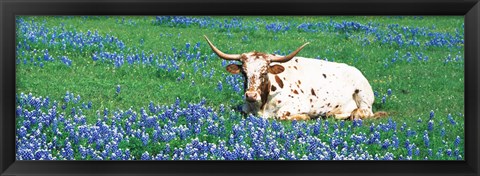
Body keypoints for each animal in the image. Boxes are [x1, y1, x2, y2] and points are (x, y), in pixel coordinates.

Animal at [204, 35, 388, 121]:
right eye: (244, 72)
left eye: (264, 72)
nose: (250, 95)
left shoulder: (297, 105)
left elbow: (281, 115)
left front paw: (305, 117)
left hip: (363, 97)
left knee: (363, 112)